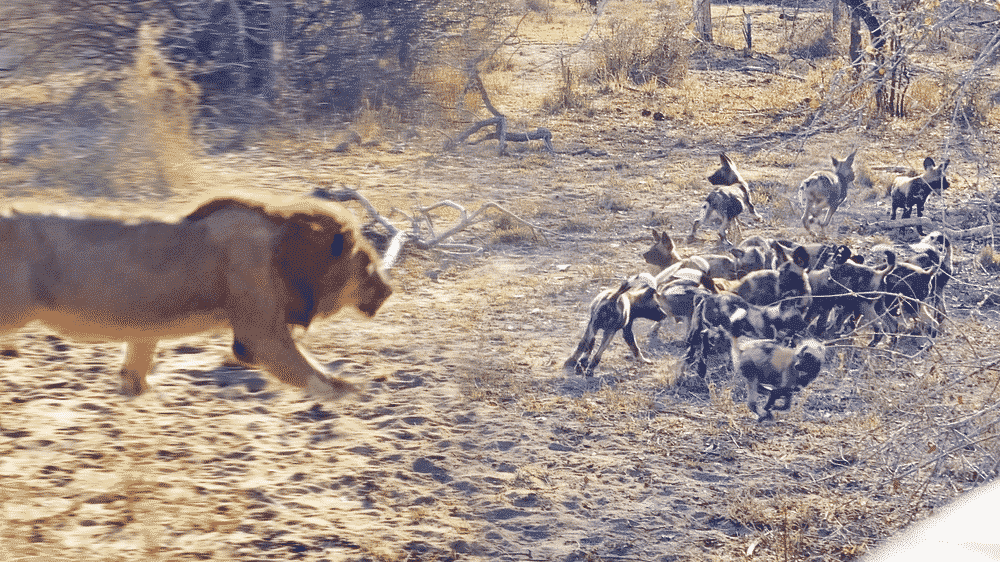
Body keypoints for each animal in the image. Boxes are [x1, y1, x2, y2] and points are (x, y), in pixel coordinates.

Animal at [0, 195, 392, 396]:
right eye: (368, 265)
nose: (389, 291)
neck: (280, 243)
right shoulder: (262, 333)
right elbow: (318, 377)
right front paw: (356, 390)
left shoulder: (146, 328)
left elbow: (136, 372)